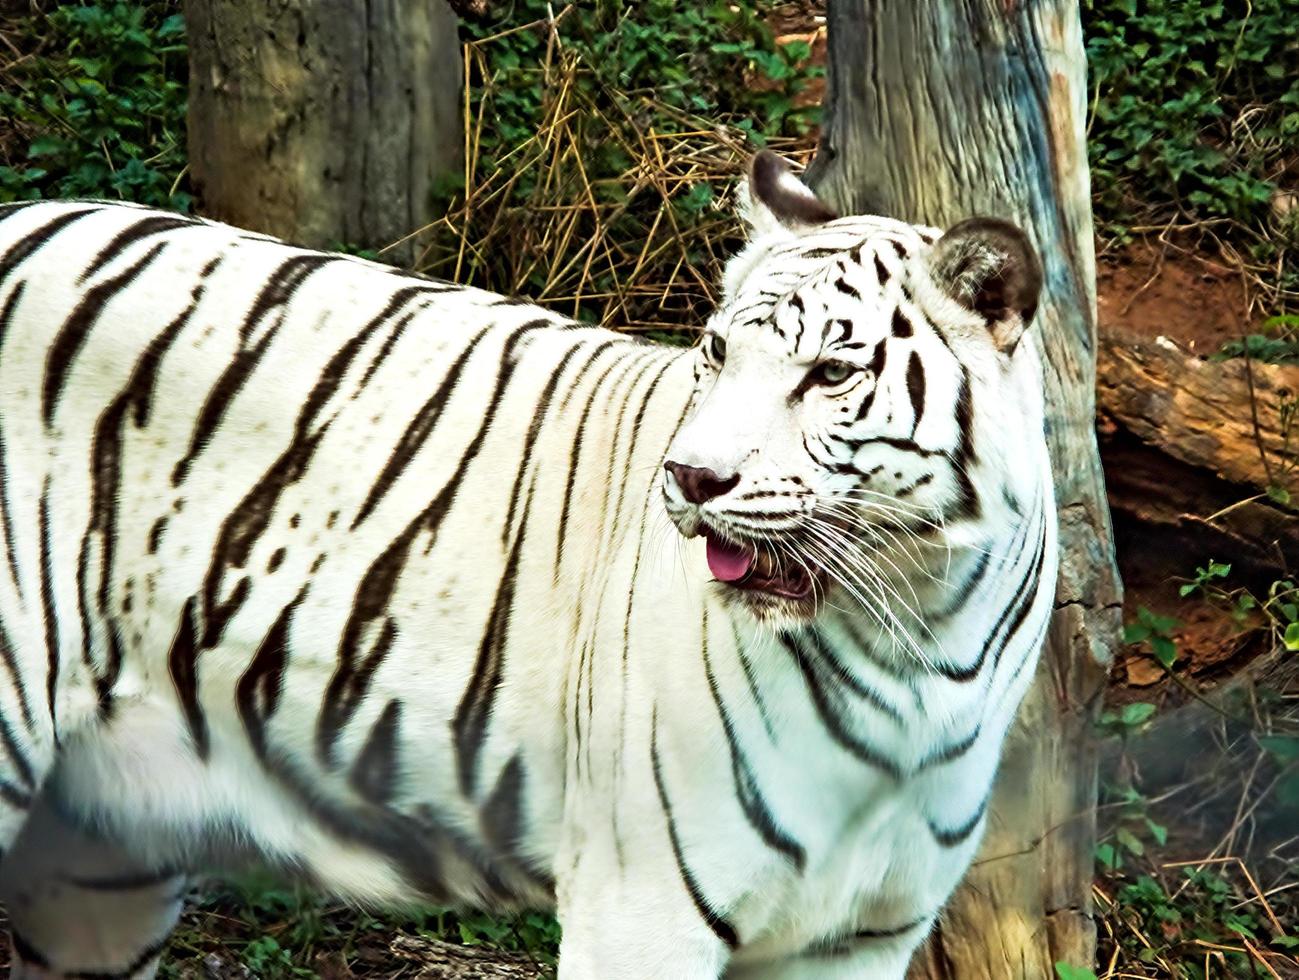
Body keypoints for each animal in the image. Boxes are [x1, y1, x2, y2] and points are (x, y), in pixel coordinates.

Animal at [0, 152, 1054, 977]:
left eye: (830, 374)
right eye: (715, 352)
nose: (690, 476)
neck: (918, 638)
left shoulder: (861, 938)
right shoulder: (642, 912)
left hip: (98, 866)